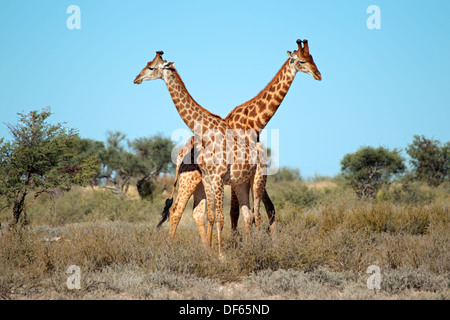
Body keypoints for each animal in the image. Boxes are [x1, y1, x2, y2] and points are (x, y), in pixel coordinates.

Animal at [134, 51, 268, 255]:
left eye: (151, 67)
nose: (136, 78)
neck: (205, 133)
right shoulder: (207, 177)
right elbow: (211, 216)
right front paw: (211, 253)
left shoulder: (218, 177)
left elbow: (220, 217)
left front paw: (221, 256)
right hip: (241, 183)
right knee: (248, 214)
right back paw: (249, 248)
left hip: (258, 178)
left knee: (258, 214)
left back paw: (259, 249)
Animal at [158, 39, 320, 240]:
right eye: (302, 61)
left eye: (312, 58)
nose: (318, 74)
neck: (254, 122)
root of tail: (180, 153)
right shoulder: (238, 173)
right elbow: (237, 211)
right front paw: (238, 242)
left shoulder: (247, 172)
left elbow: (266, 208)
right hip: (190, 179)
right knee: (177, 209)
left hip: (202, 184)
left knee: (197, 212)